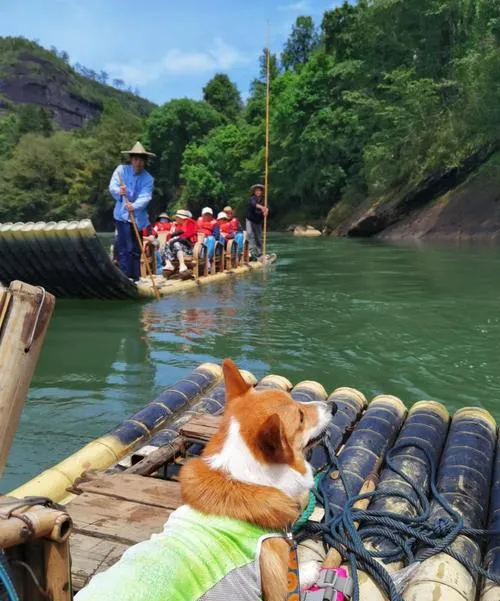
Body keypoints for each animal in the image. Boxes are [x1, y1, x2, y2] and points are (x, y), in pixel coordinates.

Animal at [75, 359, 332, 601]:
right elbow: (295, 577)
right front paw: (309, 570)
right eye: (300, 417)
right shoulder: (278, 578)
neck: (243, 478)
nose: (333, 406)